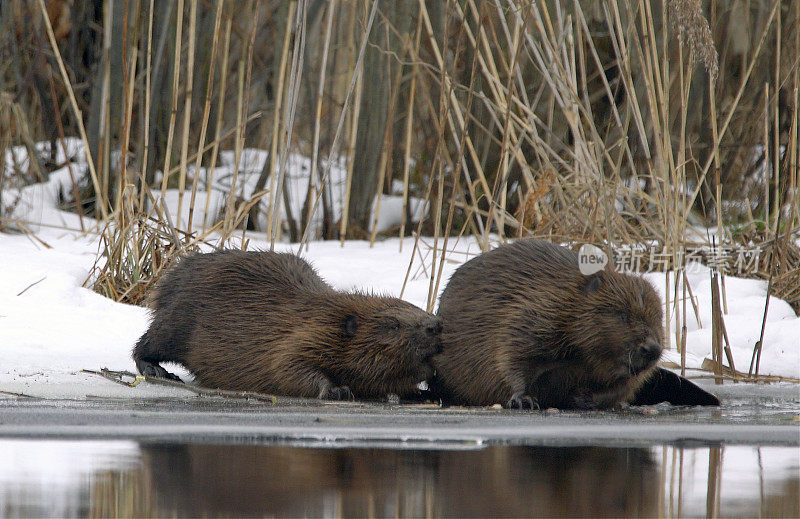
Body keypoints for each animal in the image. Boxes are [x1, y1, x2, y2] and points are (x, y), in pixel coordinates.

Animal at [133, 252, 444, 402]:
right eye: (392, 326)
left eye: (418, 308)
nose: (436, 325)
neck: (329, 315)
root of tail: (171, 278)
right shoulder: (299, 337)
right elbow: (288, 368)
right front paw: (337, 391)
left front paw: (422, 392)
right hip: (177, 321)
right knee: (147, 344)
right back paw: (157, 370)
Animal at [438, 239, 720, 410]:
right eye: (622, 315)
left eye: (659, 318)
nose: (651, 348)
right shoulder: (536, 313)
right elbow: (512, 355)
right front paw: (524, 399)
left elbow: (622, 387)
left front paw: (583, 397)